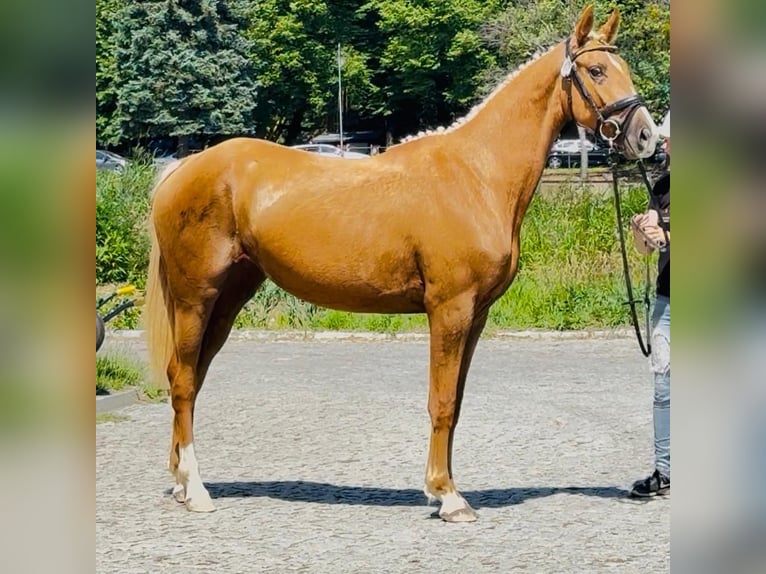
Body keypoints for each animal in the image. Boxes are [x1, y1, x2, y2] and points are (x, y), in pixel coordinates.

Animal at [144, 5, 658, 522]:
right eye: (597, 70)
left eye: (623, 66)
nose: (646, 136)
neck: (477, 175)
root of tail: (183, 168)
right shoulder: (450, 310)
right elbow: (442, 401)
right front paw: (448, 496)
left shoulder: (476, 315)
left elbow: (458, 401)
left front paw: (441, 488)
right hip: (196, 297)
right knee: (183, 381)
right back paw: (196, 489)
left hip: (229, 298)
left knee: (189, 377)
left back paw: (181, 483)